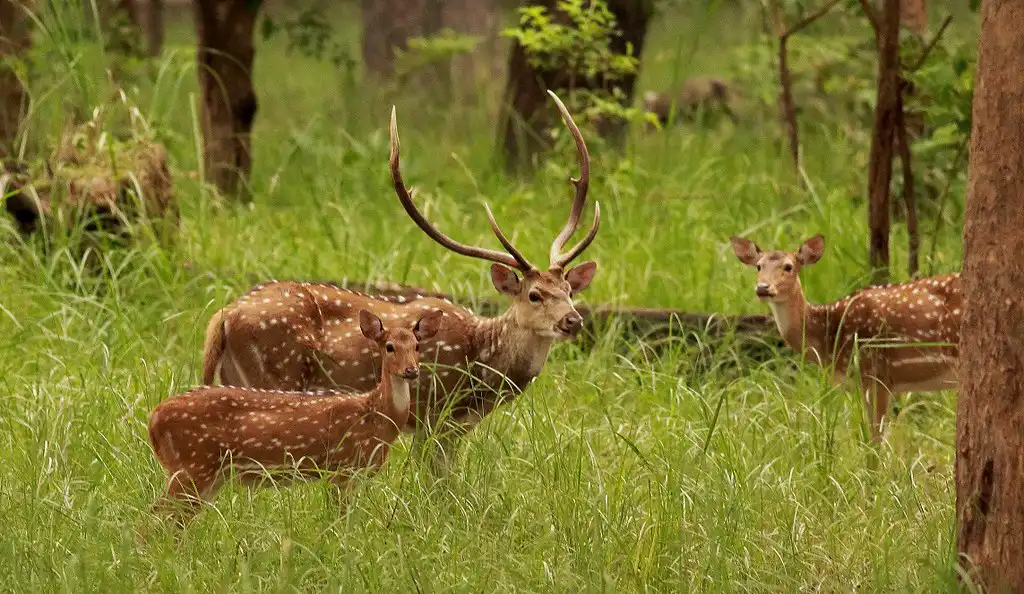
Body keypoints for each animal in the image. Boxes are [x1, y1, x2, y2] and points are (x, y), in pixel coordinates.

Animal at [147, 309, 440, 528]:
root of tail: (154, 420)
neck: (374, 415)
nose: (411, 370)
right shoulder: (342, 467)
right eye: (389, 347)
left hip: (207, 473)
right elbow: (339, 520)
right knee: (156, 516)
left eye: (416, 346)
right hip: (193, 464)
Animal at [199, 91, 598, 473]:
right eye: (534, 295)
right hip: (278, 373)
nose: (573, 320)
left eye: (568, 291)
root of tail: (225, 316)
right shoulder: (434, 415)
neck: (482, 366)